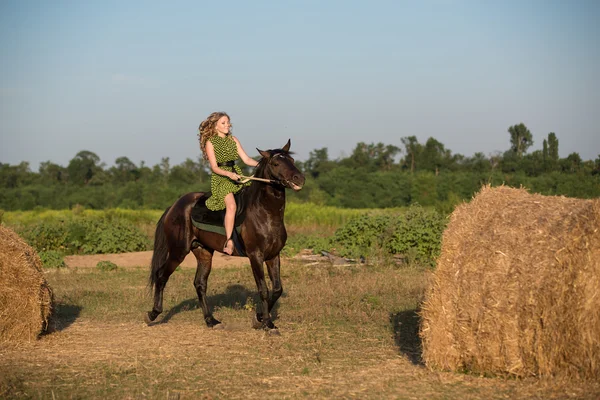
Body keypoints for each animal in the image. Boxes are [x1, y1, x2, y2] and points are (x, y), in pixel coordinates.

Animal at [146, 140, 304, 332]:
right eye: (275, 163)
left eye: (291, 160)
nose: (299, 179)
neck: (265, 213)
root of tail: (174, 207)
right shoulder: (255, 256)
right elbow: (264, 290)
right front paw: (267, 323)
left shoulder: (273, 256)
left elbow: (277, 289)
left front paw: (259, 318)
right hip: (178, 251)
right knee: (162, 276)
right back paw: (152, 314)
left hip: (204, 252)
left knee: (200, 284)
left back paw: (210, 320)